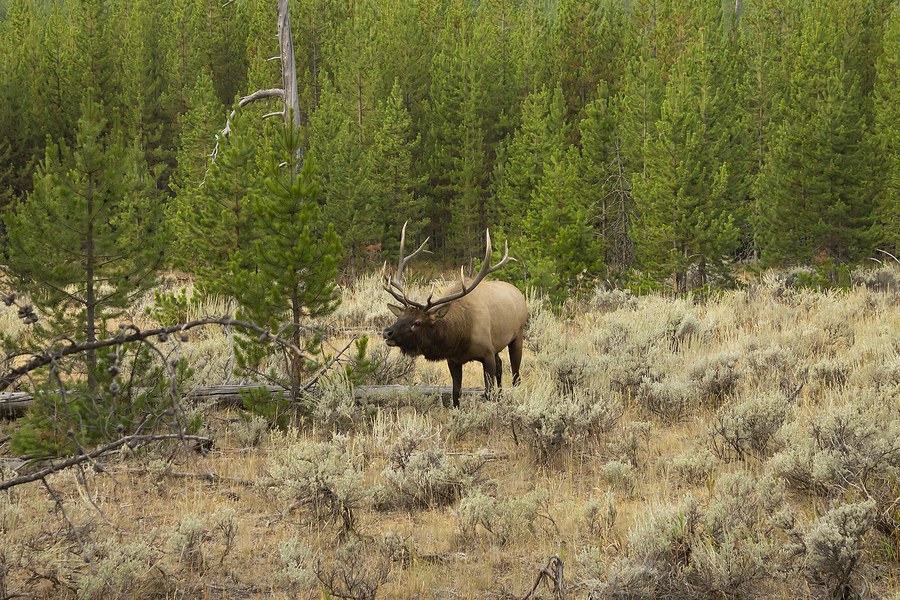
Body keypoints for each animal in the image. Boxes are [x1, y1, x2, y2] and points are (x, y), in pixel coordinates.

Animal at [382, 224, 528, 408]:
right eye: (399, 317)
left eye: (417, 322)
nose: (387, 332)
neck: (459, 334)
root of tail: (518, 293)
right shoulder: (453, 359)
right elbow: (456, 394)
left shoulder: (487, 353)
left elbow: (488, 392)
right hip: (497, 345)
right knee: (501, 366)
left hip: (517, 335)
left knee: (516, 375)